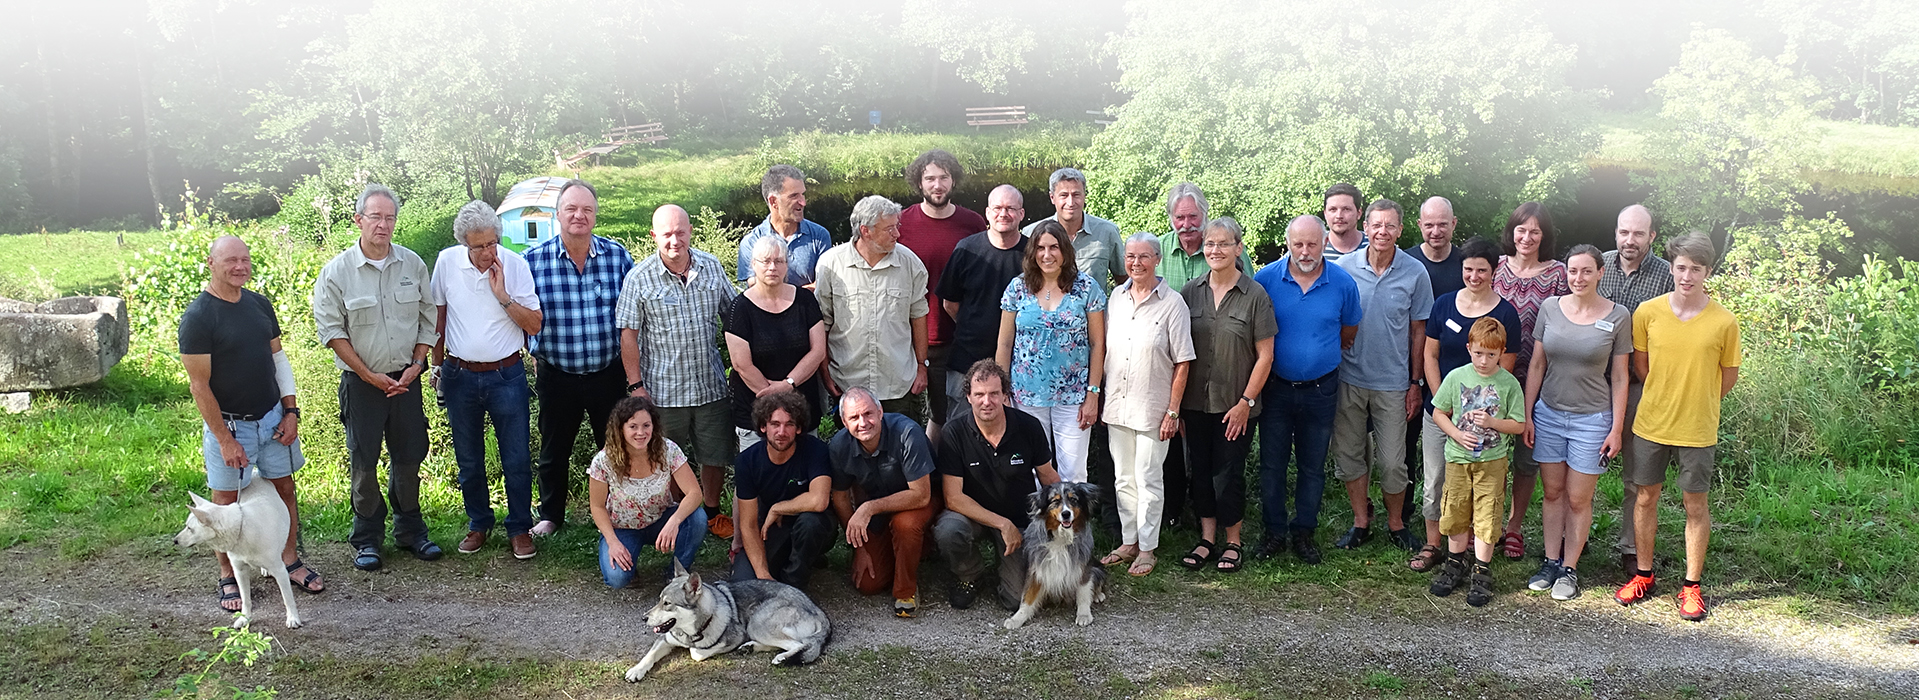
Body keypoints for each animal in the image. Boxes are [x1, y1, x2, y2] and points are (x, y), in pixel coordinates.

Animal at [174, 473, 301, 629]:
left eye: (190, 528)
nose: (175, 541)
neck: (241, 529)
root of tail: (255, 474)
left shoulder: (280, 571)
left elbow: (288, 598)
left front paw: (293, 618)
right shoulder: (239, 571)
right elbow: (245, 599)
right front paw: (244, 619)